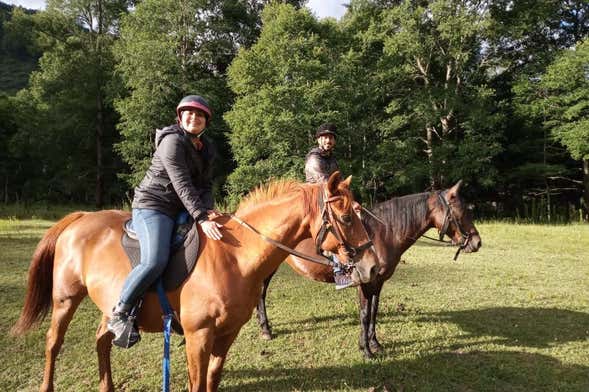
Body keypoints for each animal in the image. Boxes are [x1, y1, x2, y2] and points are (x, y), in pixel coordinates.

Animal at [11, 173, 378, 390]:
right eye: (347, 216)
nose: (373, 266)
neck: (235, 258)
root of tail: (80, 218)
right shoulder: (198, 334)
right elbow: (197, 382)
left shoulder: (226, 334)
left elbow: (211, 380)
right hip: (65, 299)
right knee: (53, 343)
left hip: (110, 306)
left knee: (102, 341)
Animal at [255, 181, 480, 358]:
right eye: (461, 212)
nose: (477, 242)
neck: (382, 234)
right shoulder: (364, 282)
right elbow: (364, 314)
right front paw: (365, 349)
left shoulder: (378, 282)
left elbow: (374, 311)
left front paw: (375, 343)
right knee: (261, 293)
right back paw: (266, 329)